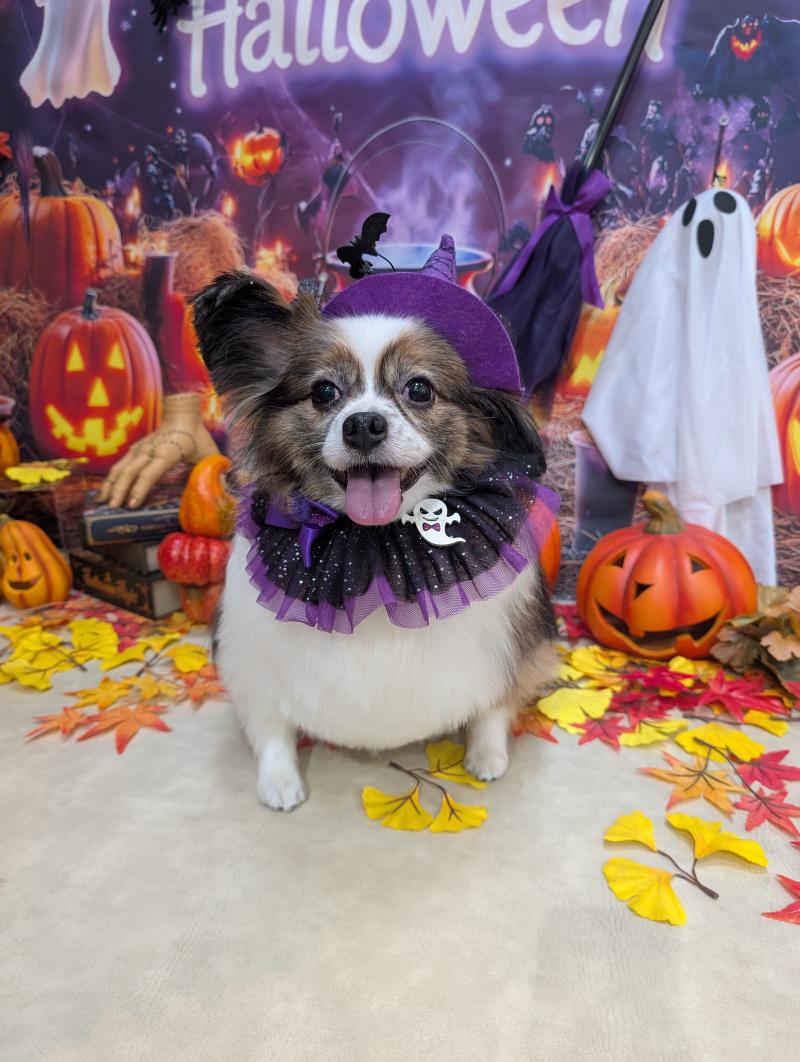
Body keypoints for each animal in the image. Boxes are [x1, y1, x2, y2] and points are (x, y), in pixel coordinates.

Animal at [192, 263, 557, 810]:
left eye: (420, 389)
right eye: (323, 392)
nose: (363, 424)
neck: (374, 544)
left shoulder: (509, 646)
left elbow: (493, 704)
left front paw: (487, 754)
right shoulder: (251, 659)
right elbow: (271, 727)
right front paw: (279, 781)